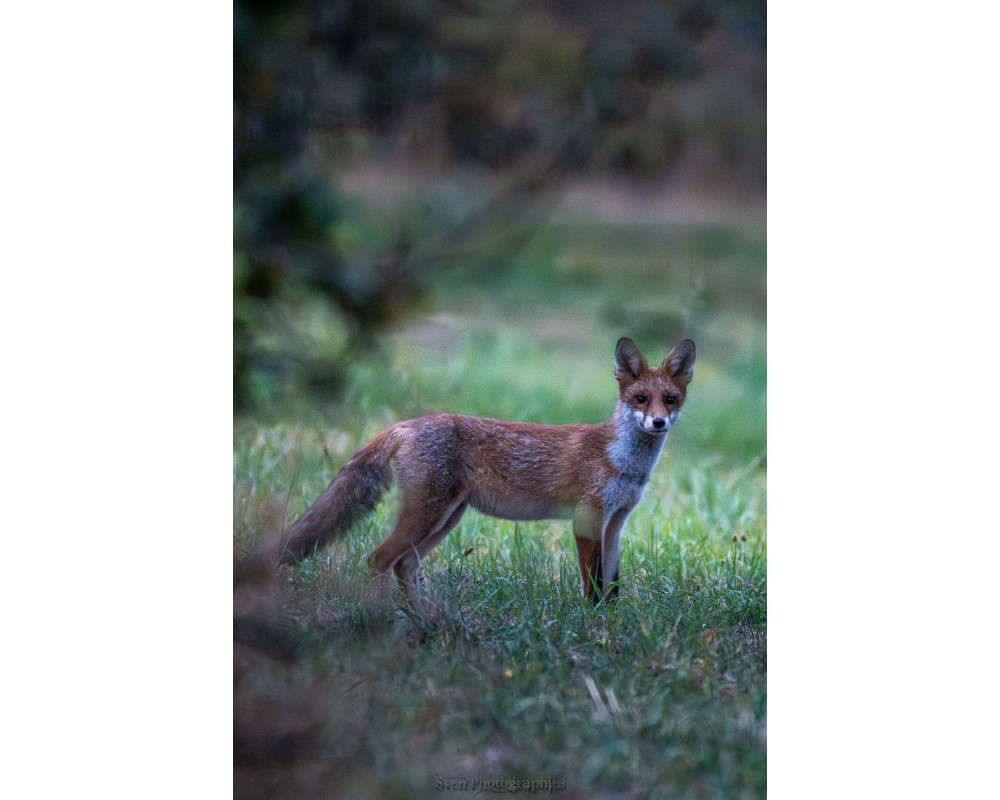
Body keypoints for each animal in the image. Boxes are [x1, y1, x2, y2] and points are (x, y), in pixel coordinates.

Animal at [278, 337, 695, 617]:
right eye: (640, 399)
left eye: (670, 400)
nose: (658, 423)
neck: (622, 459)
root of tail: (408, 423)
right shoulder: (588, 519)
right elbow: (592, 586)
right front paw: (593, 628)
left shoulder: (615, 523)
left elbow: (613, 586)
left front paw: (611, 626)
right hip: (427, 515)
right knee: (378, 559)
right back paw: (388, 618)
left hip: (446, 518)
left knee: (404, 565)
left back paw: (425, 619)